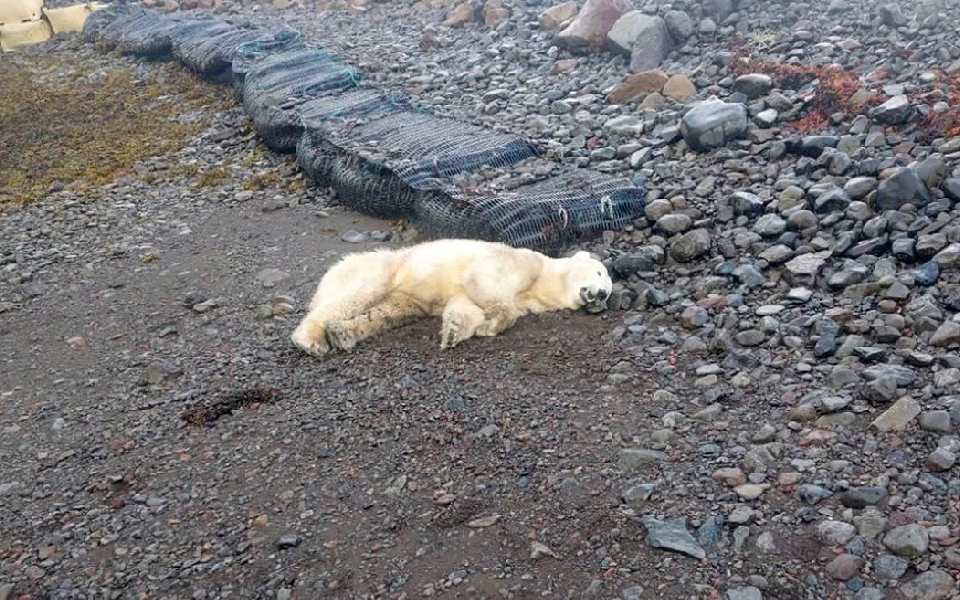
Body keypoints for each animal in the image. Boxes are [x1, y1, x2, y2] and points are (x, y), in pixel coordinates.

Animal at [288, 240, 612, 356]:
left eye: (608, 290)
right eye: (599, 273)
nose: (601, 295)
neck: (544, 280)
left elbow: (465, 305)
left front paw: (455, 331)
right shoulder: (520, 262)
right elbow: (485, 282)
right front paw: (493, 323)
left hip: (404, 297)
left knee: (386, 313)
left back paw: (343, 334)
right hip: (382, 270)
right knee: (355, 296)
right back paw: (310, 340)